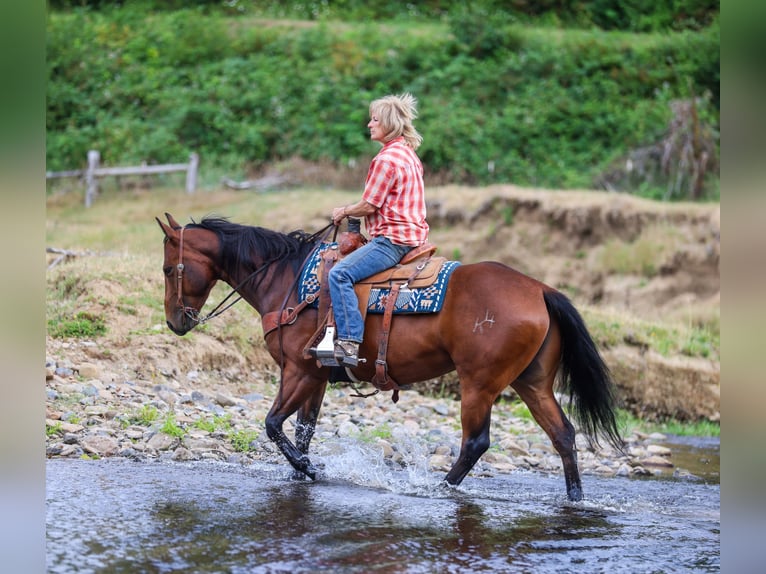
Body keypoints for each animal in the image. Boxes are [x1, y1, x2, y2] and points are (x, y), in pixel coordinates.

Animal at [157, 212, 624, 501]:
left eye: (167, 268)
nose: (176, 321)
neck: (286, 280)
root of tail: (540, 290)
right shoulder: (317, 376)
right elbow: (304, 429)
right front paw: (299, 473)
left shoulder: (298, 370)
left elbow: (273, 425)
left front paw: (311, 469)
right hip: (531, 382)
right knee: (563, 435)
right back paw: (575, 499)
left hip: (480, 383)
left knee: (476, 442)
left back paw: (439, 488)